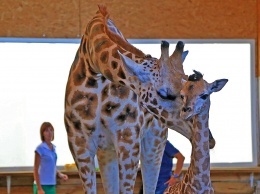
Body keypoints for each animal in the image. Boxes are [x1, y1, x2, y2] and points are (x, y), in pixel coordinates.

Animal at [64, 4, 214, 194]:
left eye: (188, 82)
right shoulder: (79, 144)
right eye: (164, 93)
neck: (92, 65)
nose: (211, 140)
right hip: (108, 150)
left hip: (154, 142)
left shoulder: (128, 140)